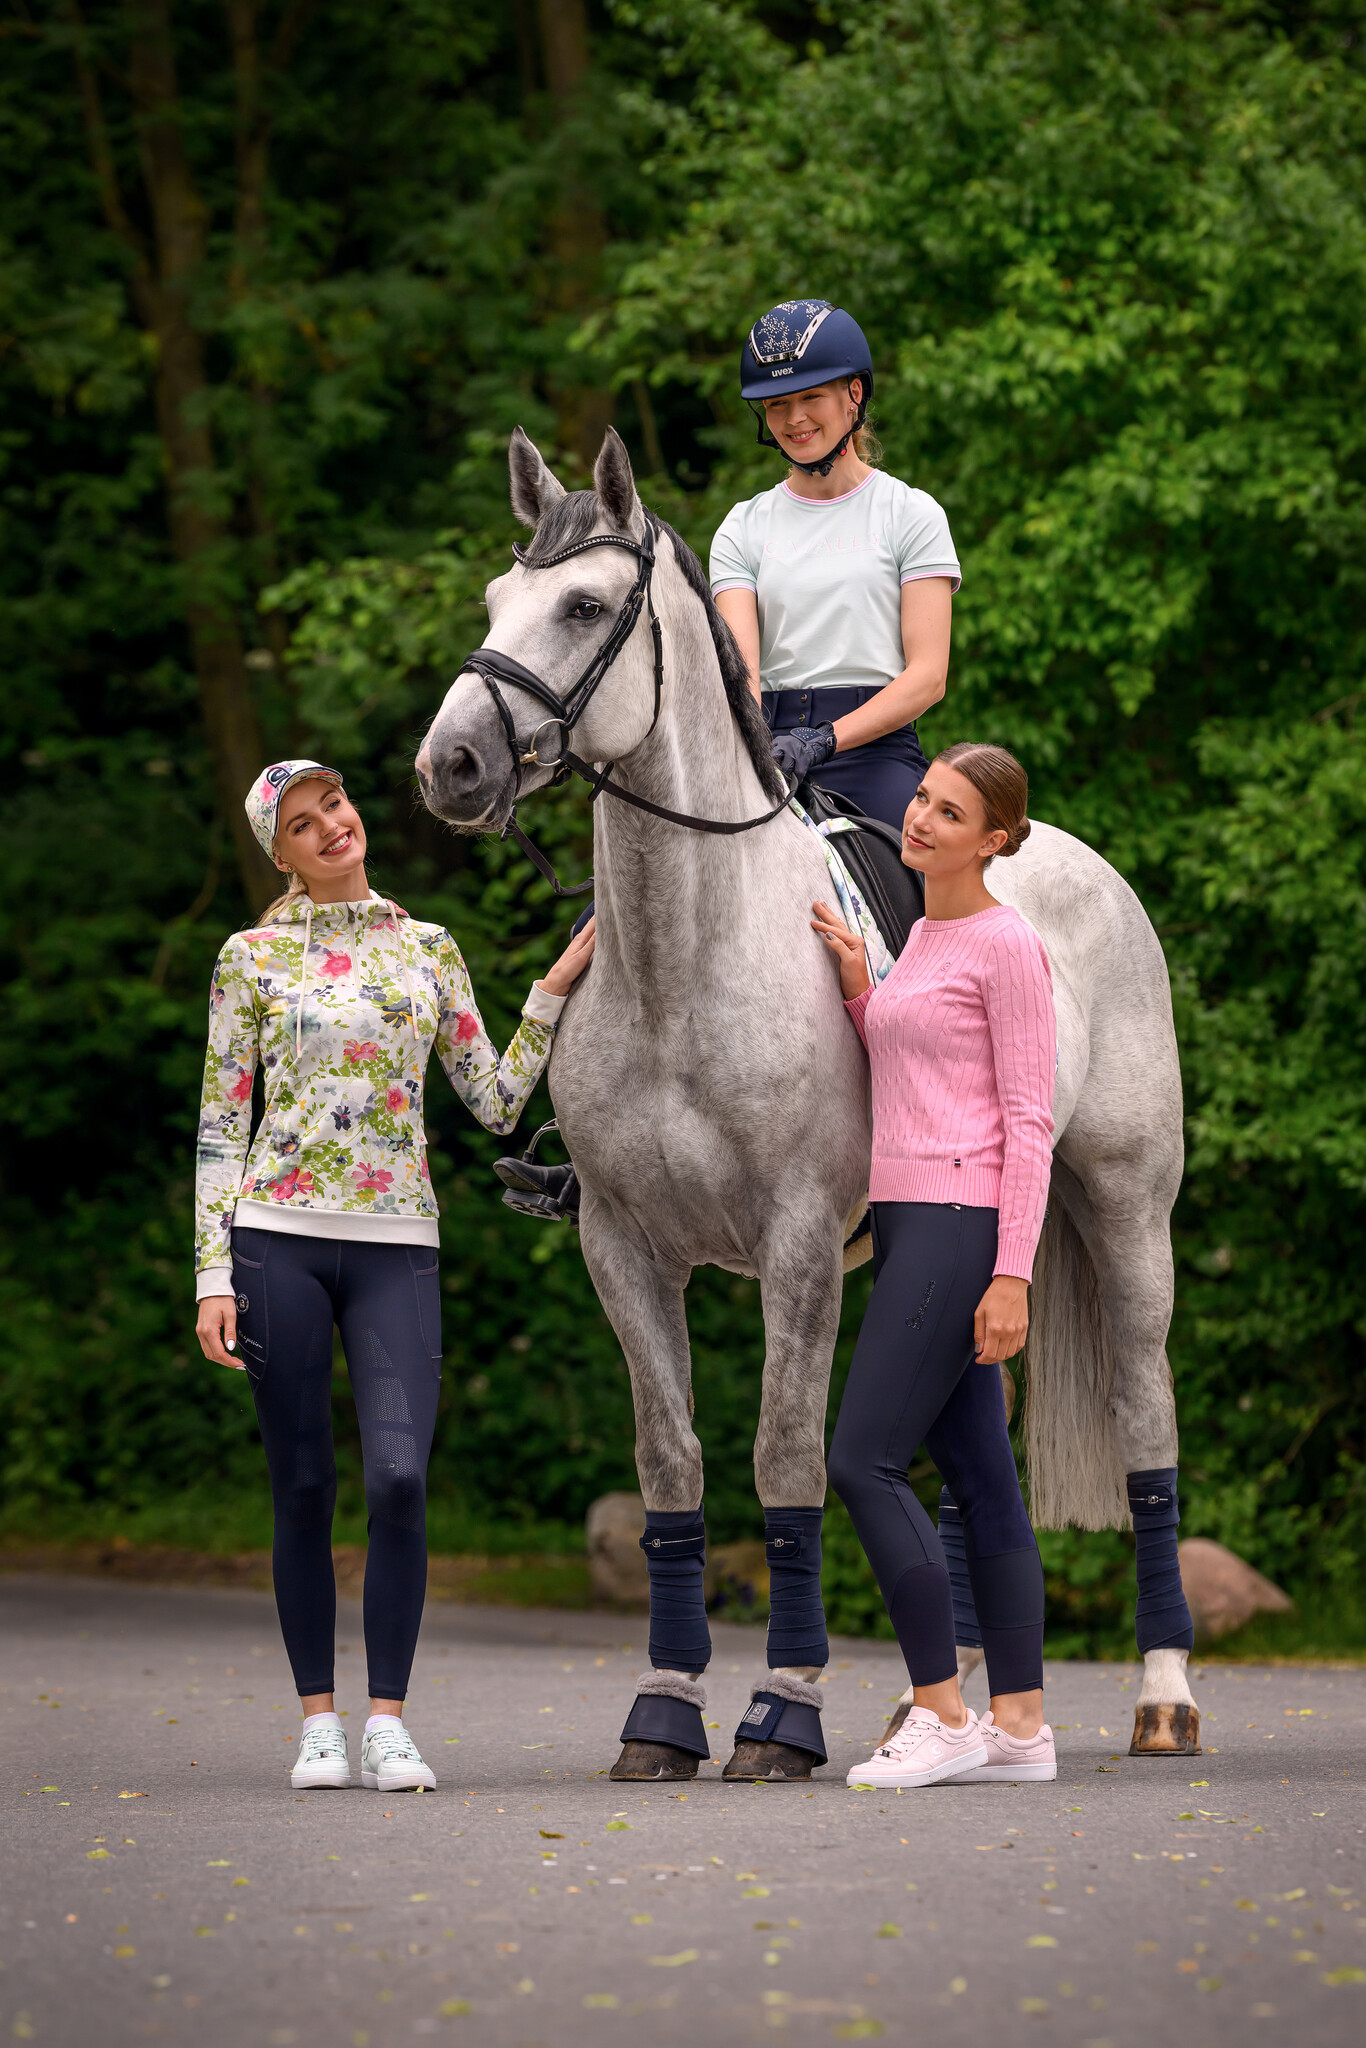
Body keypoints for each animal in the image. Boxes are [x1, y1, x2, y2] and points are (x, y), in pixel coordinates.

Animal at [415, 425, 1199, 1775]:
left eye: (582, 606)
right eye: (492, 600)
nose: (448, 764)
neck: (687, 956)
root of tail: (1087, 866)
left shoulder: (793, 1246)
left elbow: (784, 1454)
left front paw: (780, 1711)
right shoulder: (621, 1245)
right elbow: (670, 1463)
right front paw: (666, 1710)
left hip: (1123, 1214)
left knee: (1146, 1418)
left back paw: (1162, 1699)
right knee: (969, 1457)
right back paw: (953, 1706)